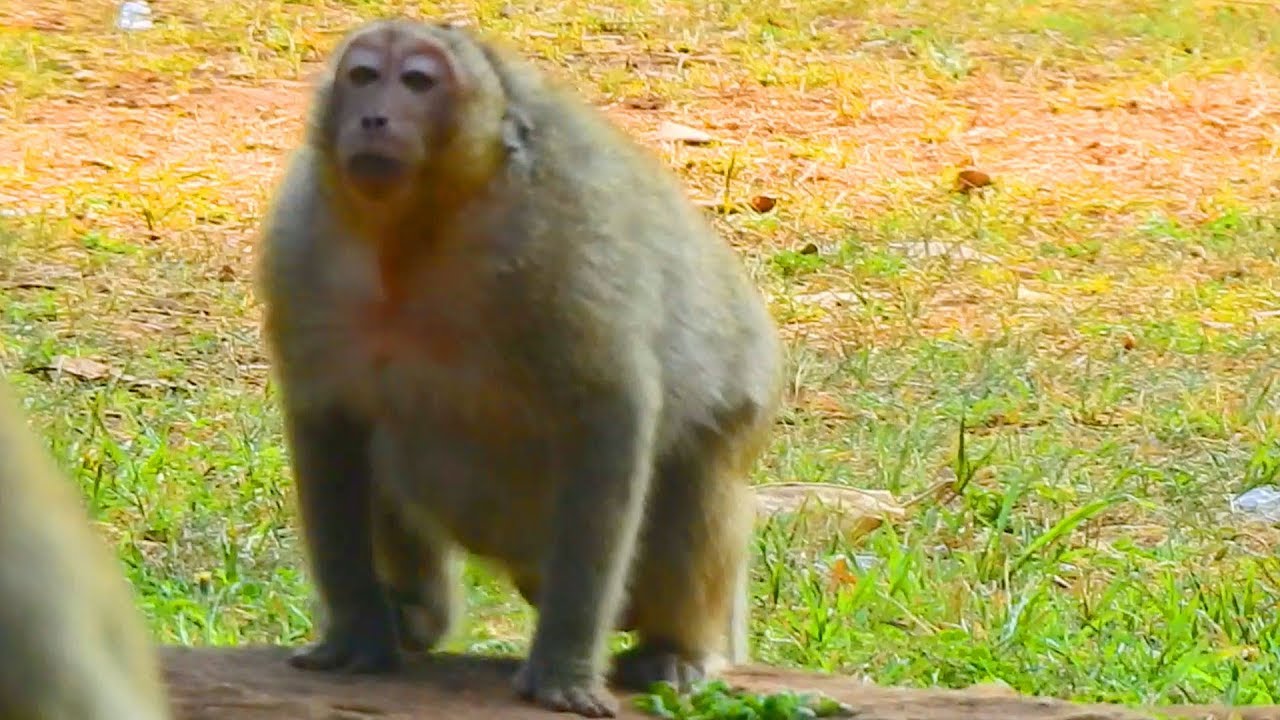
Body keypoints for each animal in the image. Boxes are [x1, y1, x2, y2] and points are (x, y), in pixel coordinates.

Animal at [255, 17, 783, 718]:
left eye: (416, 82)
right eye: (364, 76)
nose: (372, 117)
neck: (416, 233)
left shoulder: (566, 237)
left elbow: (609, 417)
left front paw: (564, 664)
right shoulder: (301, 246)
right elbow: (330, 426)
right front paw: (355, 632)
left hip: (741, 399)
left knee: (697, 475)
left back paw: (676, 647)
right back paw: (417, 611)